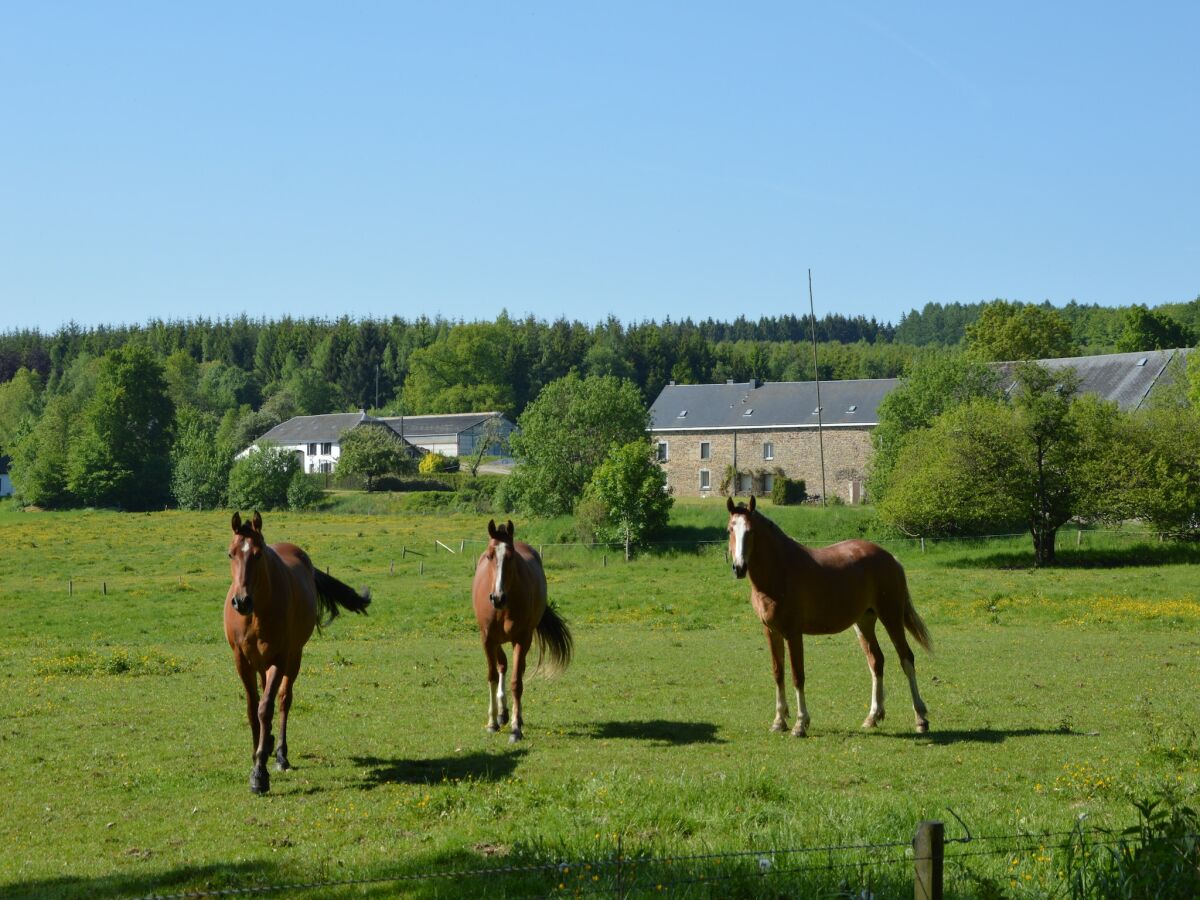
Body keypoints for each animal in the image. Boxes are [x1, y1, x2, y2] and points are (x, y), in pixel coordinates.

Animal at [225, 513, 369, 796]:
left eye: (258, 554)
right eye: (230, 554)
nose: (241, 601)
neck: (256, 614)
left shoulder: (280, 659)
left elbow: (266, 709)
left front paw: (259, 773)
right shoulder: (242, 662)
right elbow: (252, 709)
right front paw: (256, 752)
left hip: (293, 659)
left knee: (283, 700)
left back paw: (280, 754)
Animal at [470, 518, 573, 744]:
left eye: (510, 556)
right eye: (489, 555)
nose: (497, 598)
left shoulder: (521, 639)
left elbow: (517, 682)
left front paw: (516, 729)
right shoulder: (487, 639)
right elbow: (492, 675)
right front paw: (492, 722)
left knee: (517, 670)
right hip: (497, 641)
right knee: (502, 665)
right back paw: (502, 713)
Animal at [724, 496, 931, 734]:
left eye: (751, 531)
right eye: (730, 529)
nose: (739, 568)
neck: (779, 571)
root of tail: (890, 558)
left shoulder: (793, 633)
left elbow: (797, 676)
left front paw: (800, 723)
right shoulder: (770, 631)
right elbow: (778, 673)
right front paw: (779, 721)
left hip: (891, 616)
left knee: (906, 658)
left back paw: (921, 718)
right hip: (864, 621)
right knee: (876, 661)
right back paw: (872, 716)